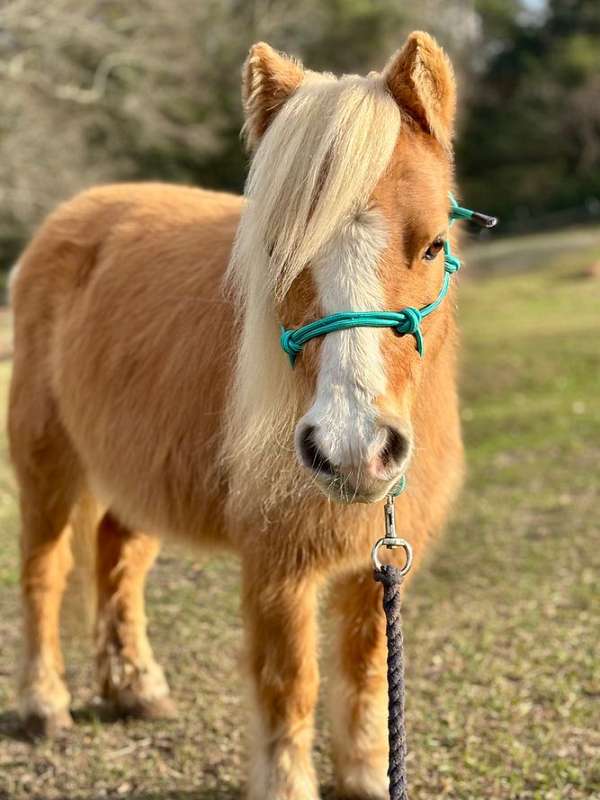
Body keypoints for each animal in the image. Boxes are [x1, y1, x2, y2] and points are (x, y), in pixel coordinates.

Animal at [8, 31, 464, 800]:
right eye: (276, 249)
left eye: (432, 244)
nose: (353, 448)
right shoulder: (277, 566)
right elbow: (291, 685)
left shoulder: (372, 568)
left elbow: (367, 674)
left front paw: (368, 775)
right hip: (46, 466)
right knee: (45, 571)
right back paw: (43, 704)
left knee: (115, 551)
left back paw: (135, 687)